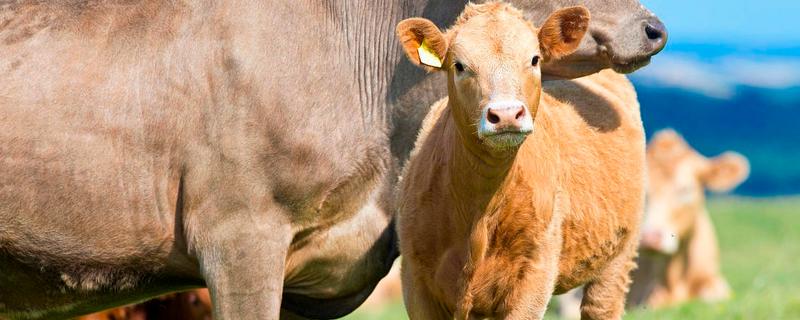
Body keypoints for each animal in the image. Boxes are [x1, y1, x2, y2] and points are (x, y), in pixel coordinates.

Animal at [396, 1, 648, 318]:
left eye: (534, 59)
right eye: (459, 65)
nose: (506, 114)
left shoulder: (535, 275)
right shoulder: (415, 278)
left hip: (619, 256)